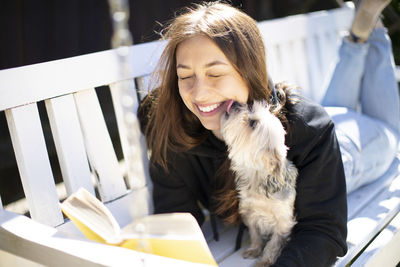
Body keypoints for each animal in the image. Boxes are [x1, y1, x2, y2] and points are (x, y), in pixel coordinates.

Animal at [220, 101, 298, 267]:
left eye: (252, 123)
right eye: (250, 107)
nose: (236, 103)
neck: (258, 180)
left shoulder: (283, 223)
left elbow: (273, 244)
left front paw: (265, 261)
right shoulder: (249, 212)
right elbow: (255, 234)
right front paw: (254, 250)